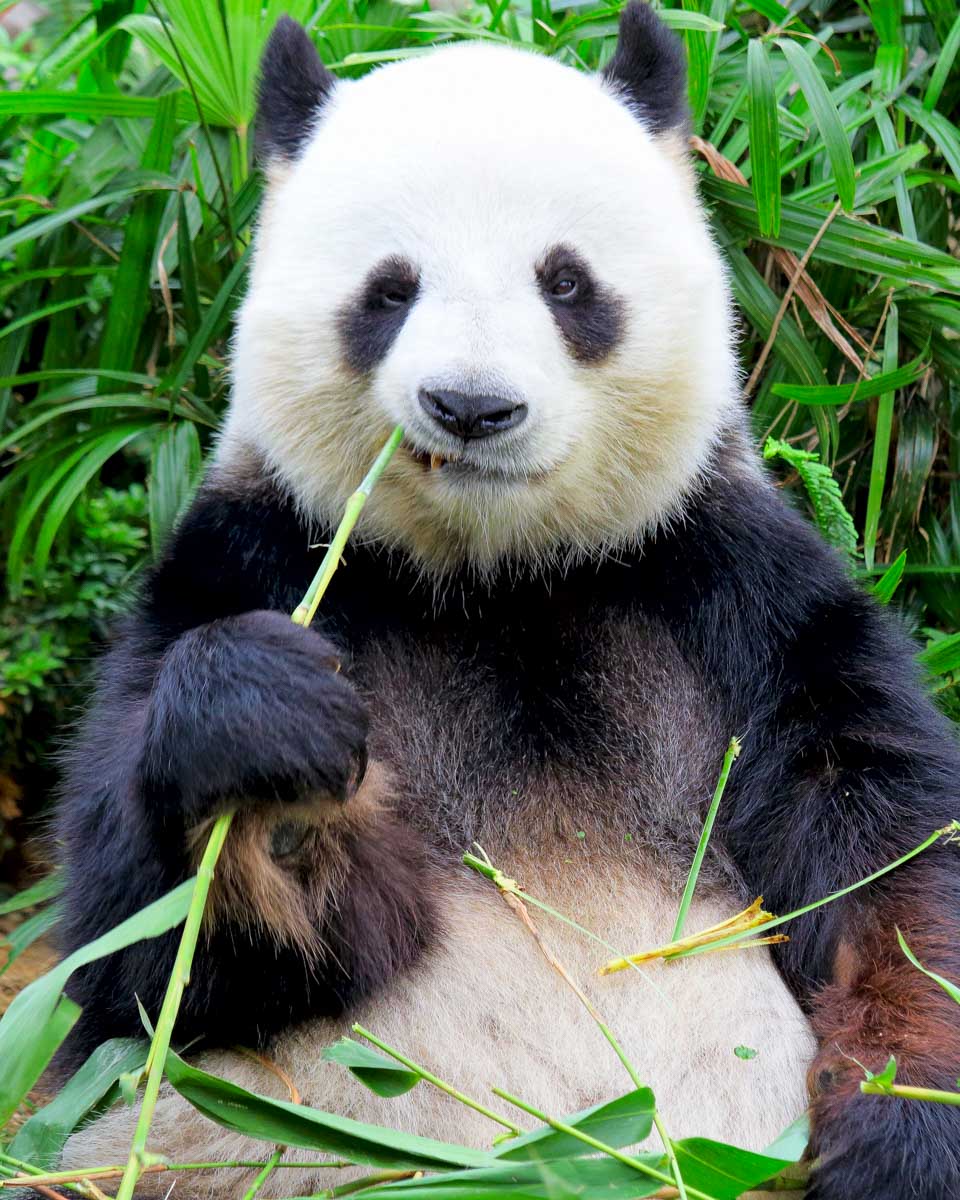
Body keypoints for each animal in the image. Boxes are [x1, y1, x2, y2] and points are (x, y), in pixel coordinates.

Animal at [53, 5, 960, 1198]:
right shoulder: (251, 562)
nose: (472, 408)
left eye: (565, 283)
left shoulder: (731, 590)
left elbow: (885, 863)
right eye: (390, 289)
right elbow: (147, 960)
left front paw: (908, 1132)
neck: (499, 577)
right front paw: (268, 756)